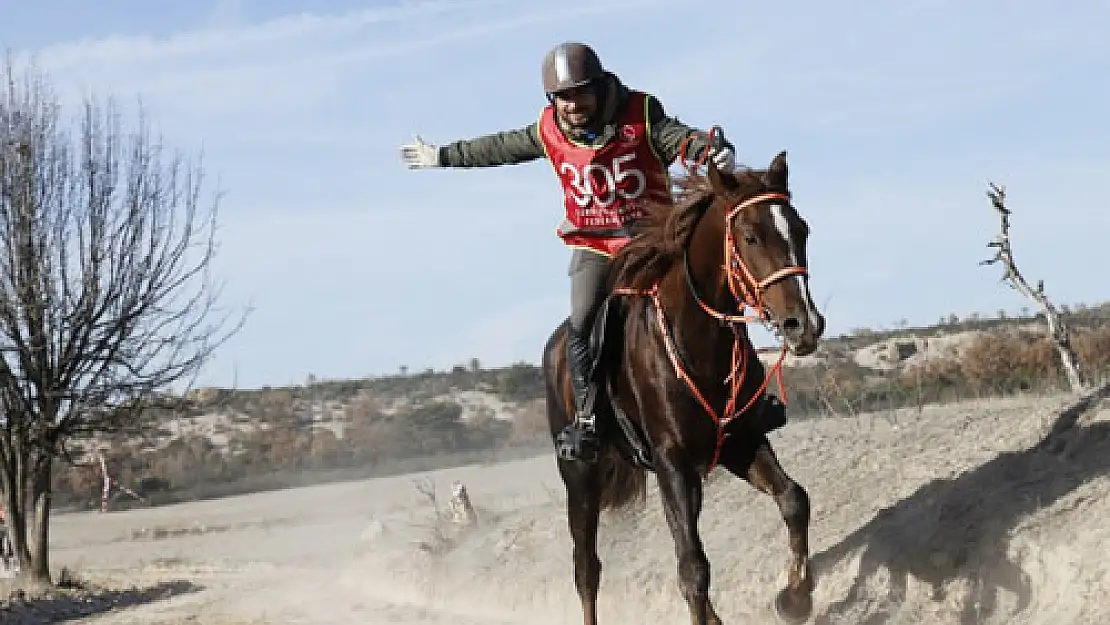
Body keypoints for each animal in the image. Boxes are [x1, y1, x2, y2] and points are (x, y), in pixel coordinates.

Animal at [541, 152, 830, 625]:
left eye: (801, 229)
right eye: (750, 236)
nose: (803, 325)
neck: (697, 339)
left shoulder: (740, 441)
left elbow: (793, 500)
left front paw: (795, 598)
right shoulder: (671, 461)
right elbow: (692, 566)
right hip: (580, 477)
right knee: (586, 568)